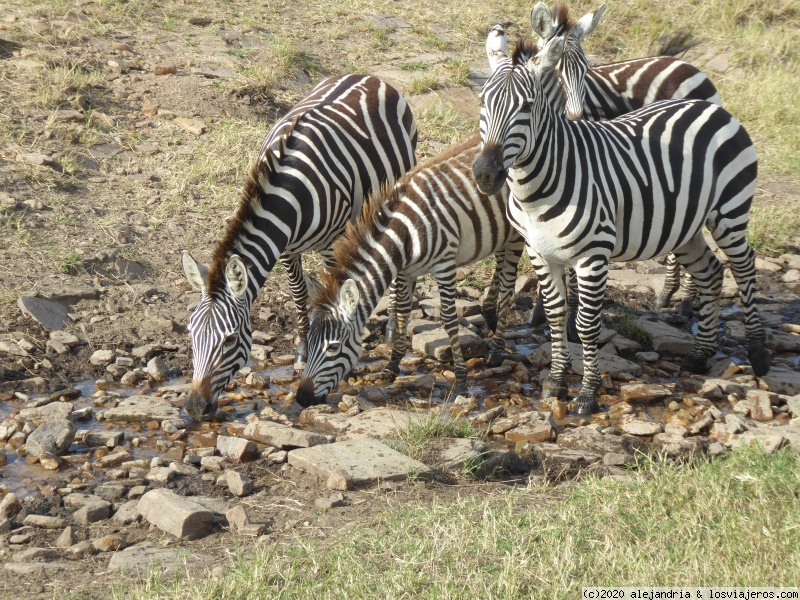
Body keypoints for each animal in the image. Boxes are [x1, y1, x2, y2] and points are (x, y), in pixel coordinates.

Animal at [182, 75, 418, 420]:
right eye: (191, 333)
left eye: (229, 340)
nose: (195, 408)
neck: (288, 193)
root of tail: (368, 76)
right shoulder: (287, 249)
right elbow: (299, 295)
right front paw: (302, 353)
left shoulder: (334, 244)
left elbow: (338, 295)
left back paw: (391, 329)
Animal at [294, 134, 524, 408]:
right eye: (309, 342)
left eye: (333, 348)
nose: (301, 398)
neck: (404, 234)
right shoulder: (405, 271)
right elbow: (403, 312)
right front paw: (392, 364)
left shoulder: (444, 265)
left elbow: (449, 320)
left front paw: (461, 380)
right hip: (500, 234)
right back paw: (491, 315)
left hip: (518, 235)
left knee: (509, 289)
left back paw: (498, 351)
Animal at [472, 31, 772, 418]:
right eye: (483, 101)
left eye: (526, 106)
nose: (485, 174)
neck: (534, 191)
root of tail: (711, 107)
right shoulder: (540, 253)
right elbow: (555, 316)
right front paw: (555, 381)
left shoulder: (593, 255)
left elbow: (586, 326)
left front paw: (587, 393)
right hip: (685, 227)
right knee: (711, 272)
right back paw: (700, 354)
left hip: (729, 210)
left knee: (744, 265)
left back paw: (757, 352)